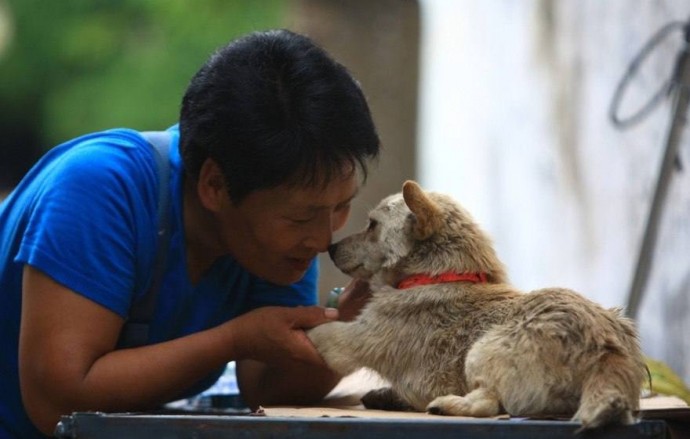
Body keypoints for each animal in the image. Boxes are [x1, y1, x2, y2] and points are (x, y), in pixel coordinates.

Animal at [306, 179, 644, 430]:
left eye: (372, 225)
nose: (331, 248)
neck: (439, 275)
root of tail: (606, 349)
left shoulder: (347, 339)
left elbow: (320, 331)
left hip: (481, 350)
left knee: (488, 404)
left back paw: (446, 404)